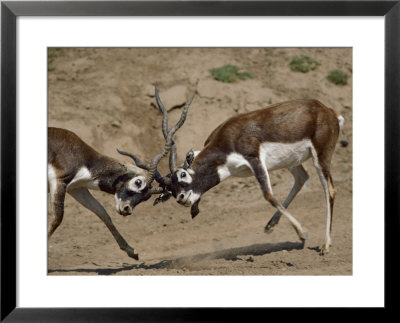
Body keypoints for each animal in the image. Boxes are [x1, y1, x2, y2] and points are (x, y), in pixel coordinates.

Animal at [47, 87, 195, 260]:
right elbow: (57, 218)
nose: (126, 209)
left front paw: (131, 251)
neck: (85, 161)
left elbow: (102, 212)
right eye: (138, 182)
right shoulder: (59, 181)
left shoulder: (77, 188)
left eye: (146, 197)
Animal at [162, 98, 344, 256]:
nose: (181, 198)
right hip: (291, 161)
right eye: (170, 188)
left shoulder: (254, 159)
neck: (227, 141)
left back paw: (325, 245)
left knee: (330, 190)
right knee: (302, 177)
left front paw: (303, 232)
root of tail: (328, 110)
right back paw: (270, 226)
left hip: (320, 157)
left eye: (183, 174)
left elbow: (268, 195)